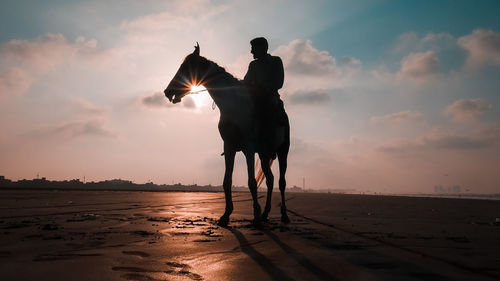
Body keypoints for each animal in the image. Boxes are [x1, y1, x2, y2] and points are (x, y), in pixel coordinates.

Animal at [162, 43, 292, 225]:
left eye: (186, 67)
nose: (168, 92)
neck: (233, 104)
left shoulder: (248, 149)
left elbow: (251, 182)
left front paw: (256, 215)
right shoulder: (229, 147)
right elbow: (226, 182)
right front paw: (226, 215)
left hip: (282, 151)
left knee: (281, 182)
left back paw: (284, 215)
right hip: (264, 154)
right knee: (270, 180)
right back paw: (266, 213)